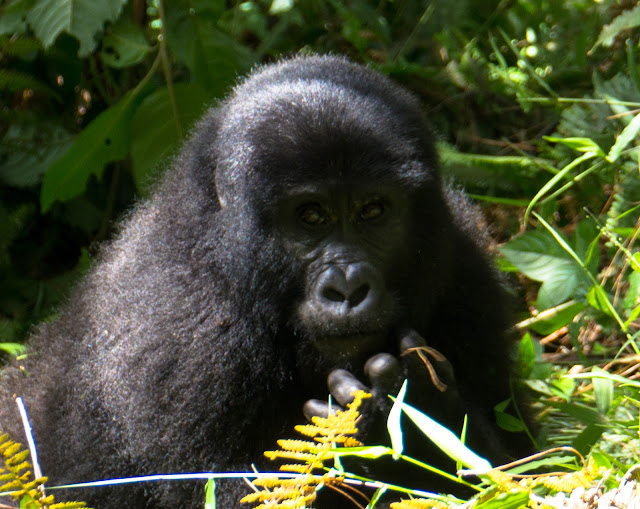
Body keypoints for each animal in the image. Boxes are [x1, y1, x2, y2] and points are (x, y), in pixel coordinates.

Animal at [0, 53, 528, 506]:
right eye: (309, 215)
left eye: (373, 211)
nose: (347, 289)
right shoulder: (178, 340)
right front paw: (397, 421)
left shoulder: (465, 268)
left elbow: (516, 462)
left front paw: (419, 412)